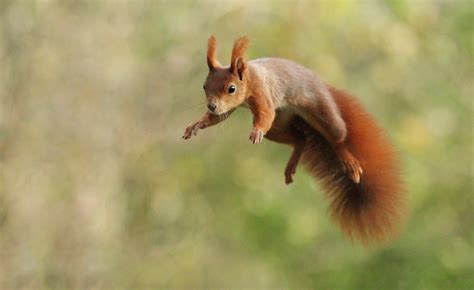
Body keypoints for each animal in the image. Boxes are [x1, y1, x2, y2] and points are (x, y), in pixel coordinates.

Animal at [183, 36, 406, 245]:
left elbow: (264, 115)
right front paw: (197, 124)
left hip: (321, 112)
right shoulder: (230, 108)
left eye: (231, 88)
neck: (249, 76)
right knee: (301, 138)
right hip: (278, 125)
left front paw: (256, 131)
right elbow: (218, 118)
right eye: (204, 86)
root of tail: (323, 86)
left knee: (337, 137)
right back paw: (292, 164)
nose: (211, 105)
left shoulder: (262, 94)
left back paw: (349, 162)